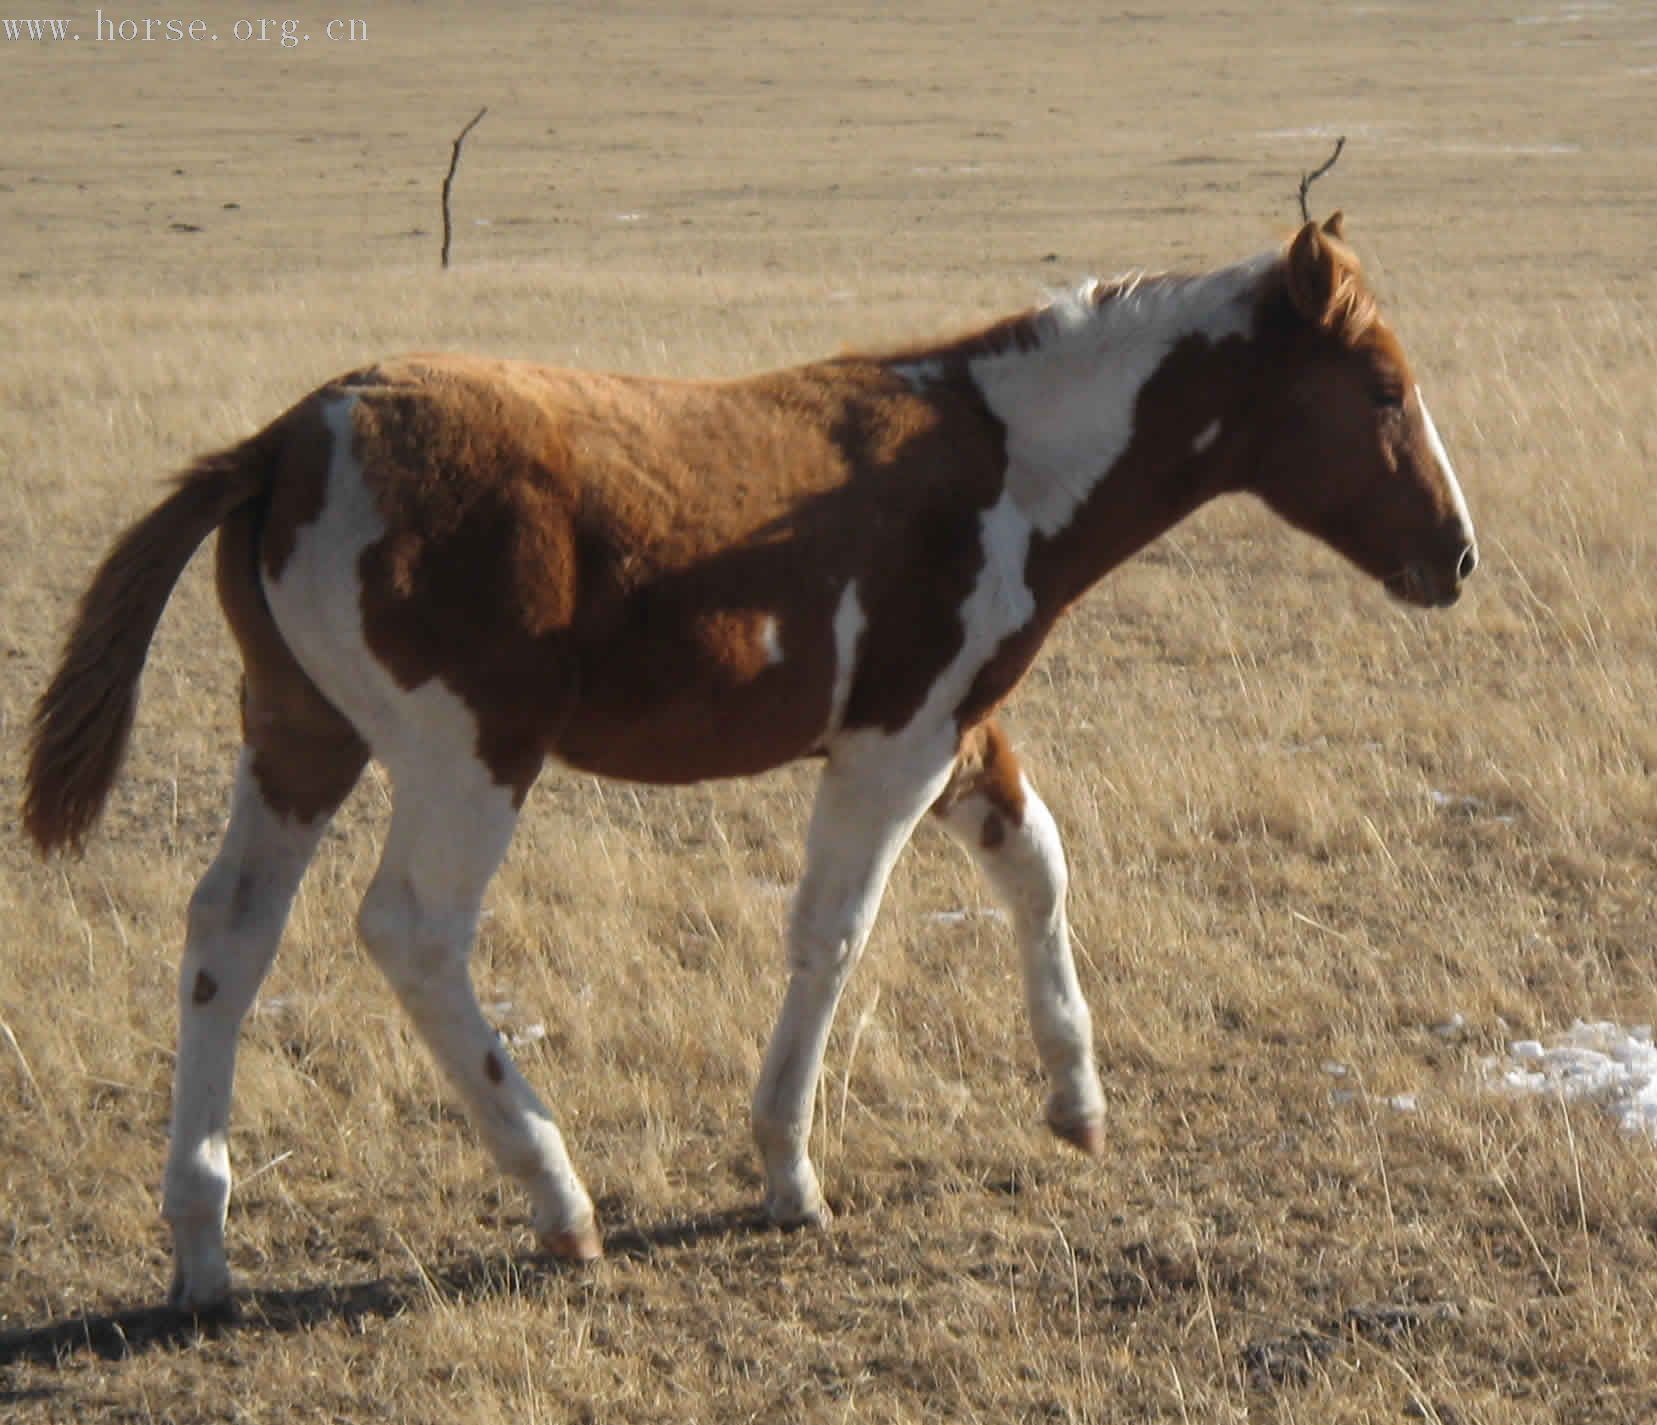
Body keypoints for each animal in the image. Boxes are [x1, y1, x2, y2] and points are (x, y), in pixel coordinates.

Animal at [25, 211, 1478, 1312]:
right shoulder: (891, 746)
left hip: (299, 740)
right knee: (412, 933)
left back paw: (203, 1244)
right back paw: (559, 1200)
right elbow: (831, 932)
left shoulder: (952, 727)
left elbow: (1035, 864)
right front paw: (787, 1172)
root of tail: (286, 441)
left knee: (228, 932)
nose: (1457, 558)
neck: (1007, 465)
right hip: (465, 754)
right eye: (1381, 390)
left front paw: (1077, 1102)